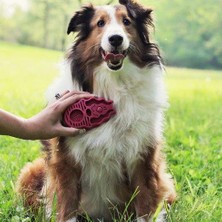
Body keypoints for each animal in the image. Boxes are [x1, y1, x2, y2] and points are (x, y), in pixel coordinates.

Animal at [16, 0, 176, 221]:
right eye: (100, 23)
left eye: (126, 21)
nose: (116, 38)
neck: (113, 87)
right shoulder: (66, 160)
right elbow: (66, 207)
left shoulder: (143, 158)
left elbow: (145, 204)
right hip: (31, 173)